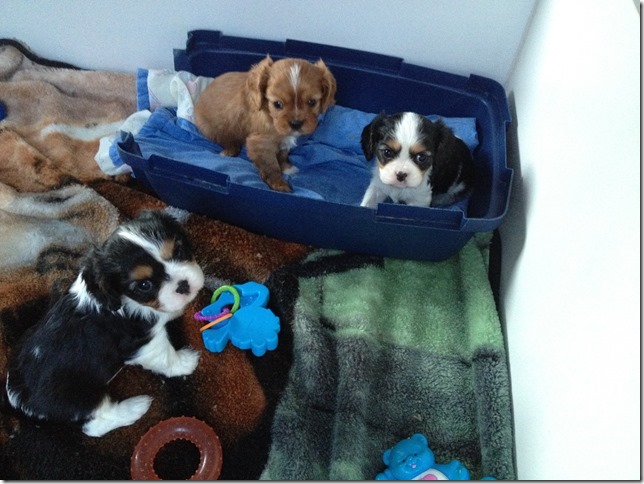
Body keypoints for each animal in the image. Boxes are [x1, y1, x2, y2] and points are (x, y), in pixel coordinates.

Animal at [4, 210, 204, 436]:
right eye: (144, 285)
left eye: (178, 250)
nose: (183, 285)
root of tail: (16, 400)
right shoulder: (142, 344)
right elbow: (166, 357)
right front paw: (185, 362)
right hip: (80, 399)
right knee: (95, 424)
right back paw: (135, 407)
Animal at [194, 55, 338, 193]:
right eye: (277, 104)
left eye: (312, 102)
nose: (296, 123)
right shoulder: (260, 144)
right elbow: (271, 166)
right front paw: (279, 184)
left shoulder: (284, 140)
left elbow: (282, 155)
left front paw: (287, 167)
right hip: (211, 128)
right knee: (225, 139)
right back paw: (229, 151)